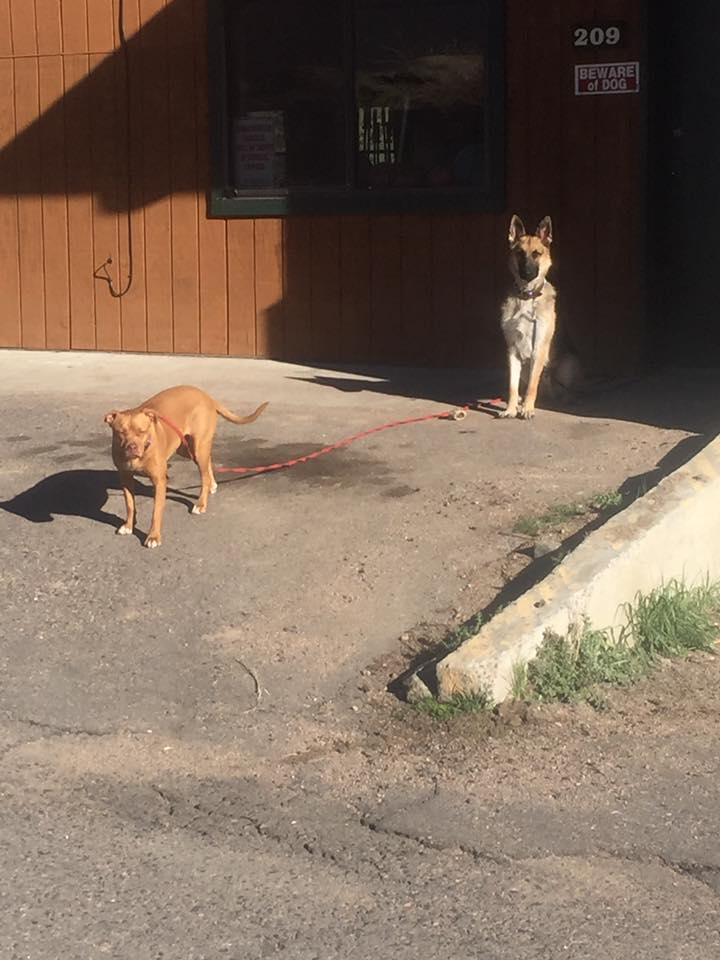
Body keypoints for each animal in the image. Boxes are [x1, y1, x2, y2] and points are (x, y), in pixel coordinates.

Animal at [104, 386, 268, 548]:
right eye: (121, 432)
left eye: (141, 431)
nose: (131, 447)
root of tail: (206, 396)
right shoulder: (125, 477)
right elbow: (130, 504)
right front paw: (128, 525)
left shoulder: (159, 481)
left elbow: (156, 511)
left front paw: (153, 536)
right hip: (187, 449)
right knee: (208, 461)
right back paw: (212, 485)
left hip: (198, 448)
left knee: (204, 476)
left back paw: (201, 503)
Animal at [499, 214, 556, 420]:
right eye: (520, 253)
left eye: (536, 254)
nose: (528, 274)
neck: (526, 297)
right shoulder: (512, 352)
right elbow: (512, 386)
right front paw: (510, 408)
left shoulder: (538, 351)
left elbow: (532, 384)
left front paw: (528, 408)